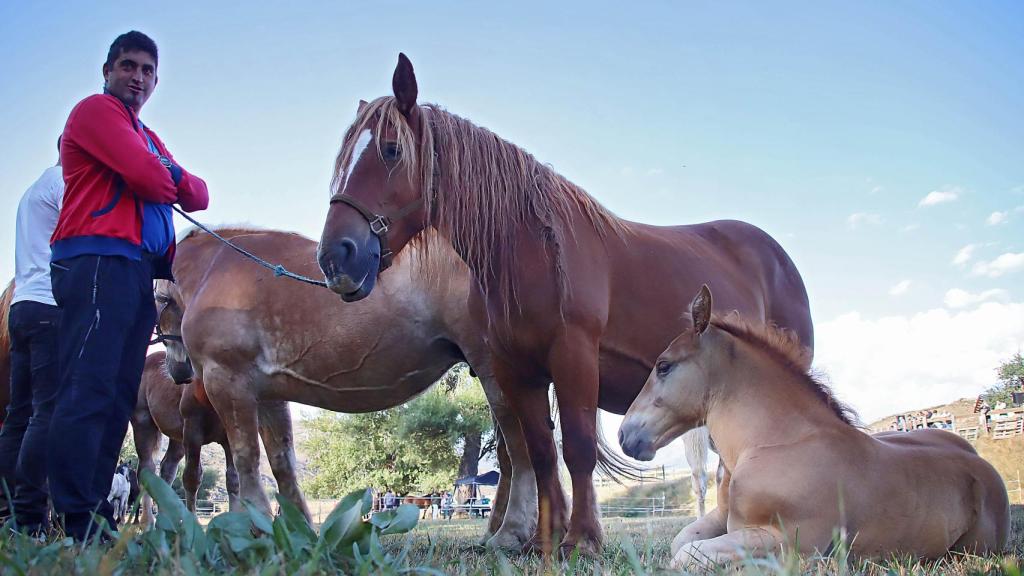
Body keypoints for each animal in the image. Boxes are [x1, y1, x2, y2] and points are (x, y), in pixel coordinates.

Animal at [128, 350, 237, 524]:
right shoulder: (193, 433)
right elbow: (192, 478)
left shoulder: (229, 438)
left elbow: (233, 480)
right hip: (143, 425)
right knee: (146, 469)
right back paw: (148, 522)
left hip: (178, 438)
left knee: (167, 468)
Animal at [156, 226, 540, 545]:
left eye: (160, 299)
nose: (177, 371)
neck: (215, 269)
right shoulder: (268, 397)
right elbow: (282, 464)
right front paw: (300, 531)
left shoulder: (229, 382)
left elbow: (246, 458)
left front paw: (258, 526)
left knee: (522, 450)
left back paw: (514, 533)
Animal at [315, 54, 811, 553]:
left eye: (391, 150)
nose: (336, 256)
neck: (530, 249)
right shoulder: (517, 370)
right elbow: (539, 452)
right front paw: (544, 538)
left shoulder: (574, 357)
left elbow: (577, 447)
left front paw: (582, 539)